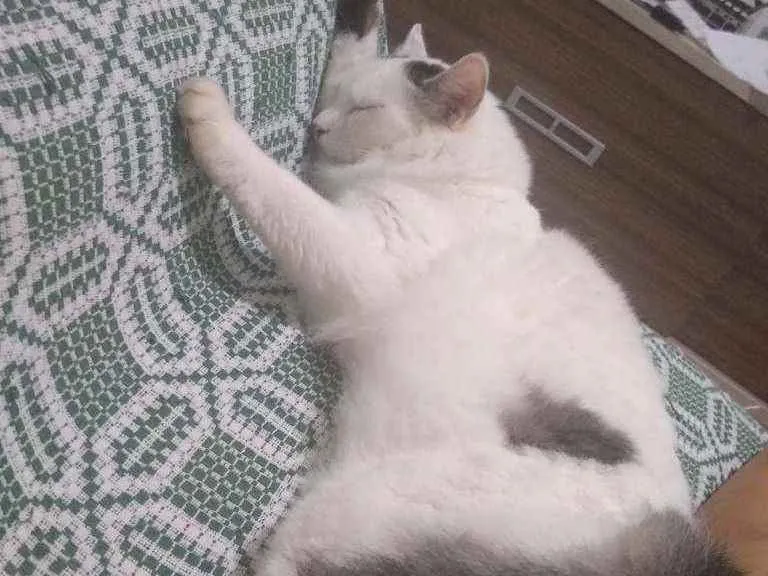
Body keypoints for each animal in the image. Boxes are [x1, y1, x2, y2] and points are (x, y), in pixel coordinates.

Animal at [178, 1, 742, 574]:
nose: (316, 127)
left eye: (364, 110)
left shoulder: (356, 253)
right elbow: (354, 40)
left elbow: (275, 190)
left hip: (355, 506)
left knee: (288, 557)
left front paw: (207, 112)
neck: (470, 181)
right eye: (337, 99)